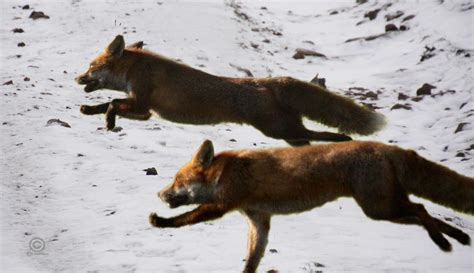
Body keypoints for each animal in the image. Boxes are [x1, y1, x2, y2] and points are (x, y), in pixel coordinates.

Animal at [151, 140, 474, 272]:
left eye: (177, 180)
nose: (159, 194)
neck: (225, 173)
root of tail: (386, 147)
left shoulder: (221, 205)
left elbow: (184, 219)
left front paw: (159, 221)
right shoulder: (259, 220)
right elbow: (252, 260)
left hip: (381, 208)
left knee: (421, 209)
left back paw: (443, 242)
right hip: (383, 208)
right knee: (425, 213)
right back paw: (457, 237)